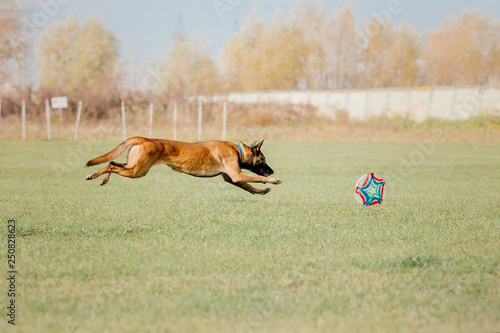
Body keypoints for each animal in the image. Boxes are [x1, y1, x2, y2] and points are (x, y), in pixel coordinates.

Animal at [85, 136, 282, 195]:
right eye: (263, 159)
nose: (272, 170)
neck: (239, 150)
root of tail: (144, 139)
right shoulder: (237, 175)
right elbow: (256, 178)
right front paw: (273, 180)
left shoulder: (231, 178)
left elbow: (249, 187)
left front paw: (261, 192)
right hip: (136, 171)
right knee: (111, 166)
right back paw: (94, 176)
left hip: (132, 166)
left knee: (112, 162)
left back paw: (101, 179)